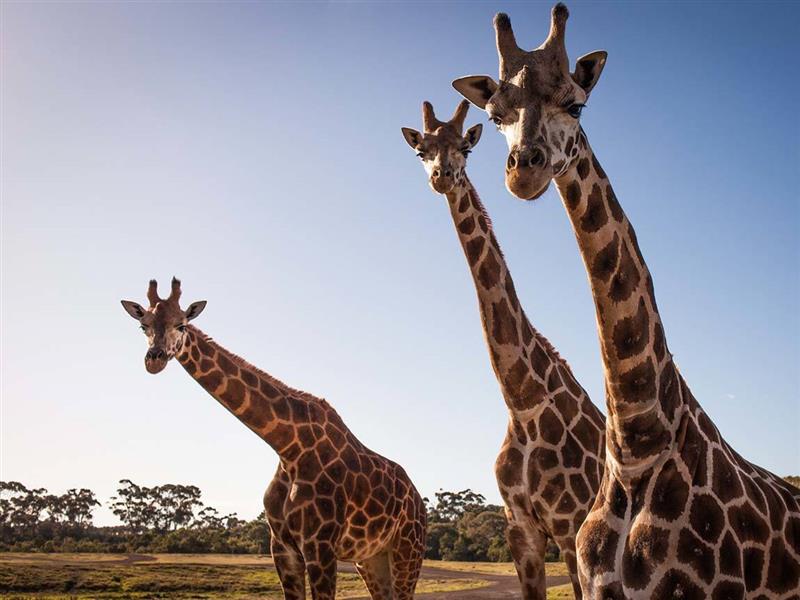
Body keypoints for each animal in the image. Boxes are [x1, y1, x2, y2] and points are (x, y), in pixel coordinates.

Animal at [120, 278, 426, 600]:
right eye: (143, 325)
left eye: (181, 324)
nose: (154, 360)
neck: (288, 447)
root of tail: (418, 500)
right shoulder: (281, 546)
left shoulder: (321, 546)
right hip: (370, 557)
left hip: (407, 549)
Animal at [401, 99, 605, 599]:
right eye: (422, 151)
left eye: (465, 148)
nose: (443, 176)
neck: (522, 402)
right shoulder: (521, 529)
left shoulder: (571, 526)